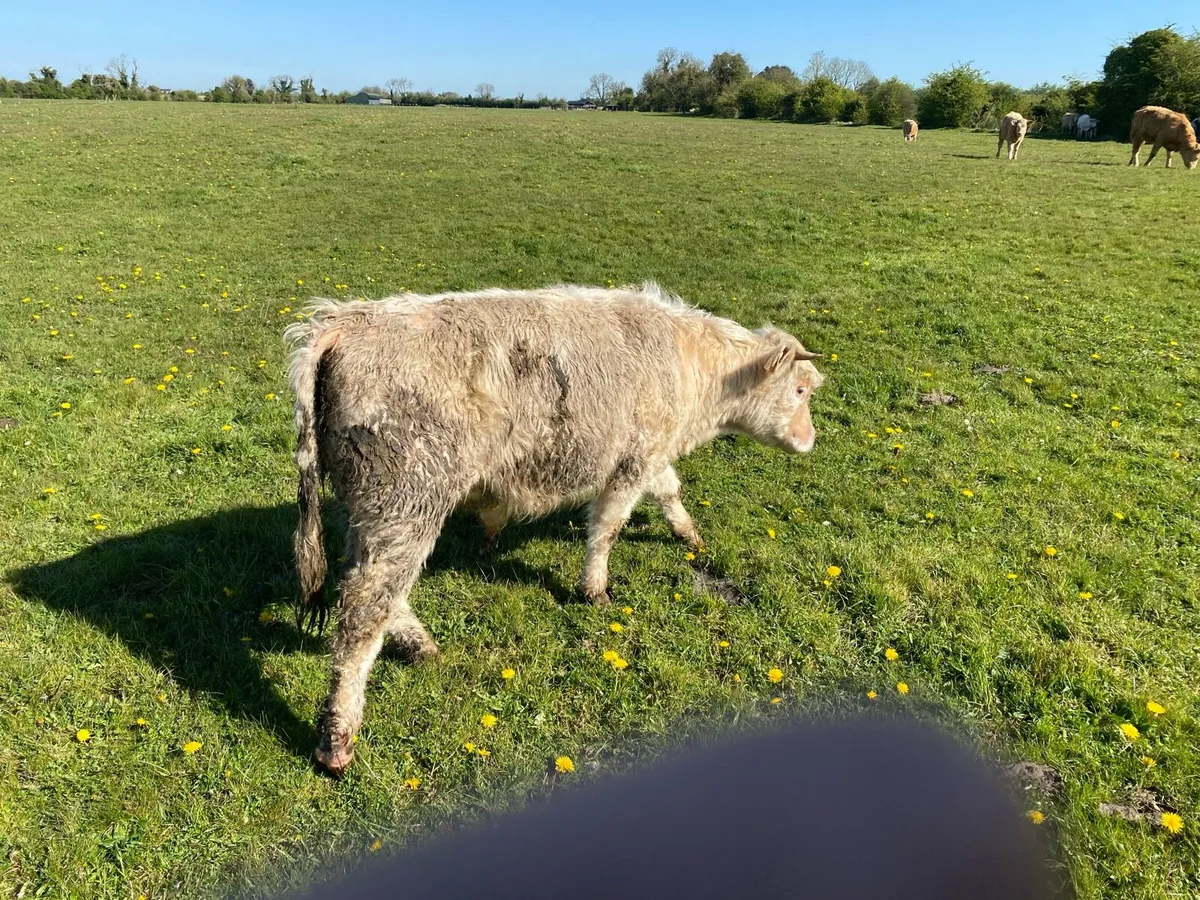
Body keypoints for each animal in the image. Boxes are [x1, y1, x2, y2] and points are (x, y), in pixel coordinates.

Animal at [287, 284, 825, 774]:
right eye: (800, 390)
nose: (811, 439)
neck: (689, 365)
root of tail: (343, 321)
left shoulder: (651, 459)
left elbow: (670, 493)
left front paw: (689, 537)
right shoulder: (632, 461)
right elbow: (608, 527)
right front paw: (595, 589)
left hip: (371, 509)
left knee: (371, 586)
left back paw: (420, 647)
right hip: (407, 504)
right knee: (363, 614)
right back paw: (337, 740)